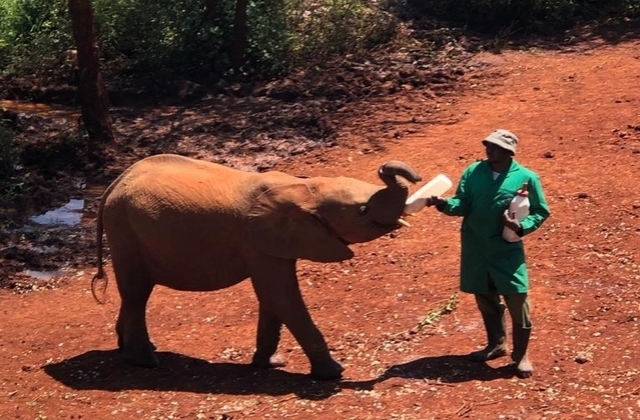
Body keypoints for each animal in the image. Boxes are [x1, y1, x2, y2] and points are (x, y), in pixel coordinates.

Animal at [91, 154, 420, 380]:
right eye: (362, 210)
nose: (387, 168)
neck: (303, 187)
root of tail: (113, 185)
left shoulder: (277, 243)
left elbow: (273, 299)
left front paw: (270, 364)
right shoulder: (257, 241)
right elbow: (281, 296)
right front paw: (333, 373)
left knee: (134, 291)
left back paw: (131, 349)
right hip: (124, 229)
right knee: (136, 292)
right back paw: (145, 361)